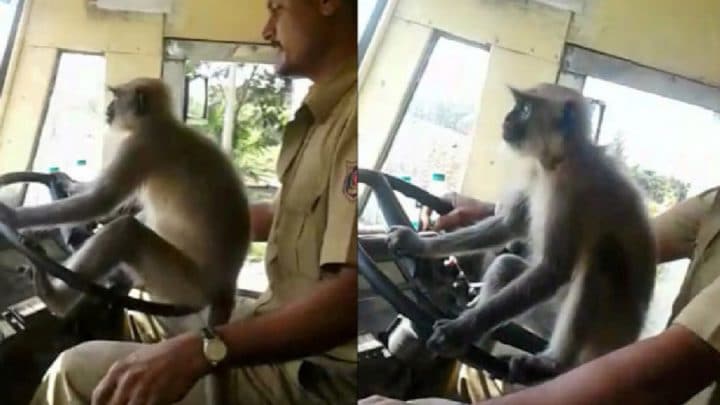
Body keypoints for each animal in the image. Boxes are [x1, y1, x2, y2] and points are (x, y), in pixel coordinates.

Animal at [0, 76, 250, 332]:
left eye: (116, 97)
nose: (109, 108)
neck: (161, 124)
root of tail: (225, 285)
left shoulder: (140, 145)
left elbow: (102, 200)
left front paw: (11, 216)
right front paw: (66, 183)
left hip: (182, 286)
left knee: (125, 231)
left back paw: (54, 298)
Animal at [388, 82, 660, 382]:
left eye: (526, 109)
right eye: (517, 105)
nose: (508, 118)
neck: (560, 160)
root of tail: (629, 340)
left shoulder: (569, 190)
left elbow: (553, 270)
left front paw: (457, 333)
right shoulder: (538, 173)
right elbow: (509, 226)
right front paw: (415, 243)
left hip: (603, 337)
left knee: (602, 258)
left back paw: (552, 364)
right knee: (505, 265)